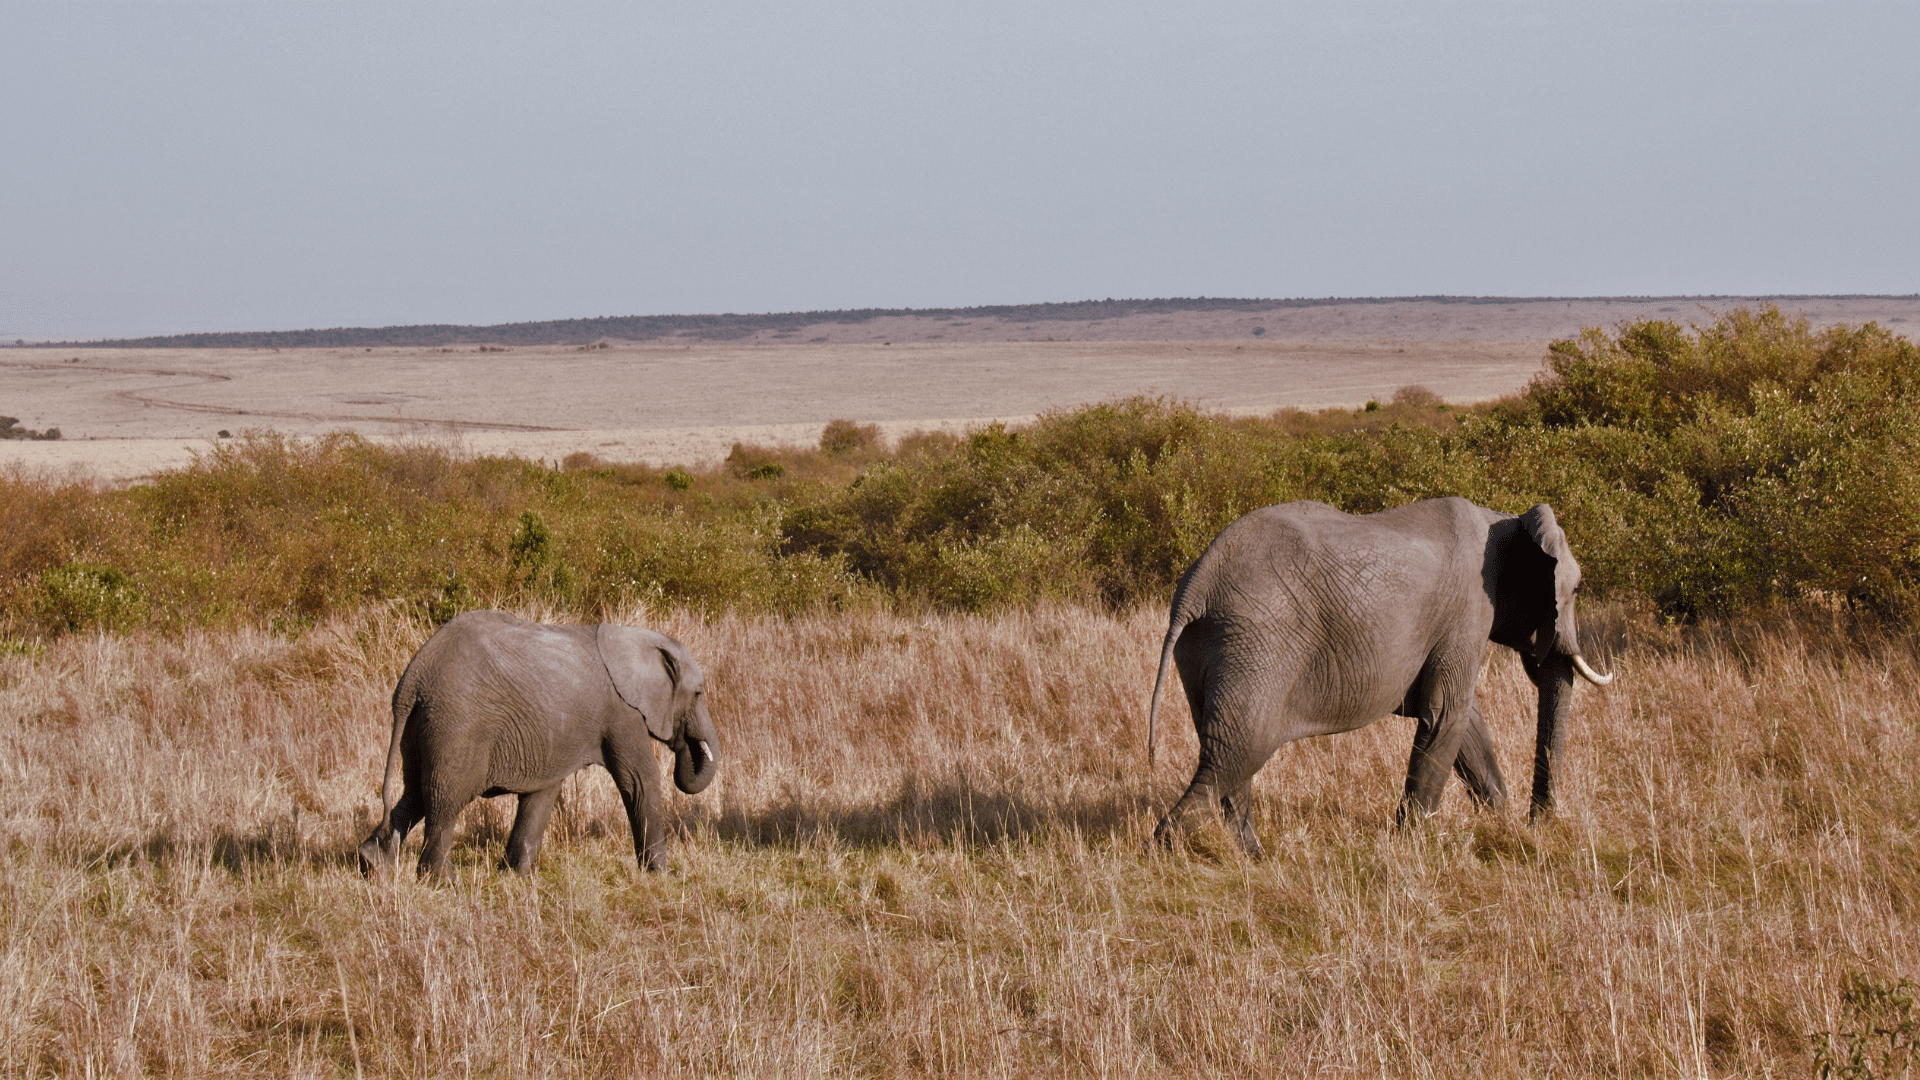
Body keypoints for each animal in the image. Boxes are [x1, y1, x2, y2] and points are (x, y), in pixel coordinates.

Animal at [360, 607, 721, 876]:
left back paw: (372, 865)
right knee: (444, 800)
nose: (686, 746)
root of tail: (414, 677)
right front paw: (663, 875)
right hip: (456, 723)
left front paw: (515, 876)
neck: (636, 636)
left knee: (416, 794)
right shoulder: (622, 711)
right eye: (698, 693)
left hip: (422, 724)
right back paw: (439, 880)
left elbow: (543, 793)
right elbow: (639, 780)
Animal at [1144, 495, 1612, 849]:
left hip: (1210, 645)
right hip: (1256, 641)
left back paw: (1253, 857)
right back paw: (1168, 847)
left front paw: (1499, 822)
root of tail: (1195, 586)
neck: (1504, 520)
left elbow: (1460, 720)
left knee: (1230, 757)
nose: (1539, 823)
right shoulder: (1468, 610)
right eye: (1576, 590)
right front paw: (1415, 845)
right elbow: (1447, 713)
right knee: (1234, 755)